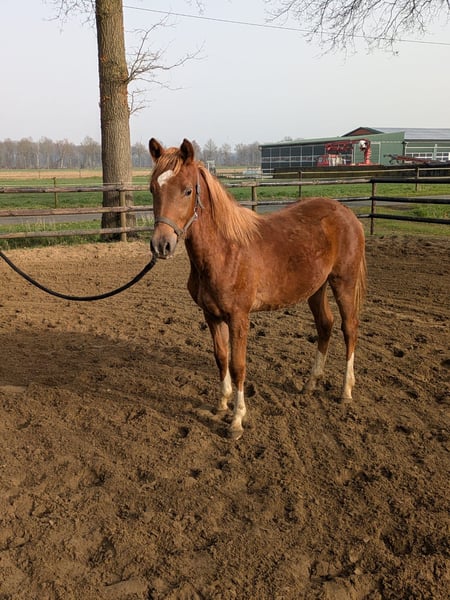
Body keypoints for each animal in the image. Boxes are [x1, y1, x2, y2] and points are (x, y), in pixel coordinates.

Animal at [149, 138, 366, 440]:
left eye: (187, 190)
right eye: (153, 188)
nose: (162, 245)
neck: (226, 250)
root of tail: (346, 213)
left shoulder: (239, 317)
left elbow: (238, 365)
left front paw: (237, 420)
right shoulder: (211, 315)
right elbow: (221, 358)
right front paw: (221, 404)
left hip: (343, 282)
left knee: (349, 328)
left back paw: (346, 391)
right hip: (316, 288)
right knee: (325, 325)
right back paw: (311, 383)